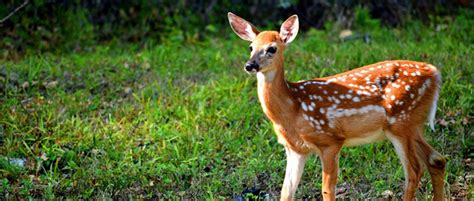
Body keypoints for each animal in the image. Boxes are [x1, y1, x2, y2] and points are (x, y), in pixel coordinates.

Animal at [228, 12, 446, 201]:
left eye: (272, 48)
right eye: (251, 47)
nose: (250, 65)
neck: (293, 108)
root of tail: (434, 73)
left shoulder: (330, 141)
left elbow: (327, 190)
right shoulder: (295, 149)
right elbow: (286, 191)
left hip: (400, 122)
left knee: (414, 170)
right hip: (412, 124)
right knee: (436, 159)